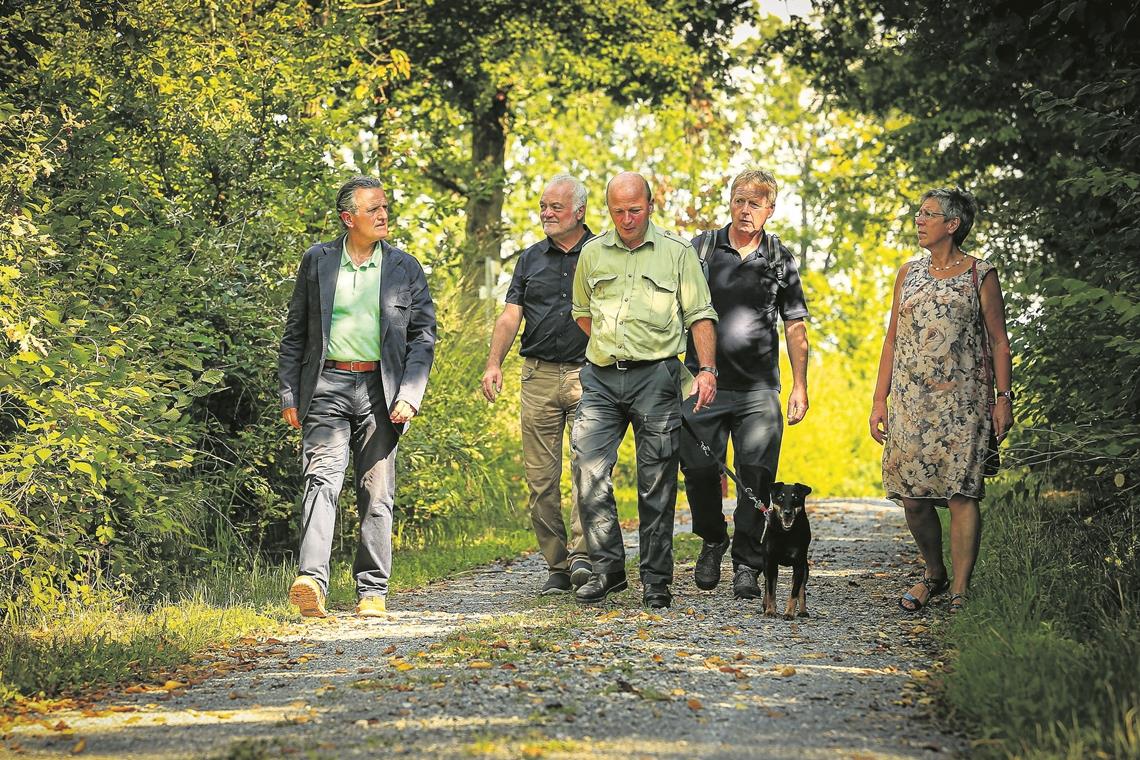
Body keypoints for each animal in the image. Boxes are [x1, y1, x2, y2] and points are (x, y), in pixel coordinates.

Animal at [761, 485, 816, 619]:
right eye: (780, 497)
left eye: (795, 497)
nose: (787, 512)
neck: (785, 533)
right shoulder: (771, 563)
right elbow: (771, 591)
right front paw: (770, 611)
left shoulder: (799, 565)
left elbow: (794, 592)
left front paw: (789, 613)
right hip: (766, 566)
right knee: (767, 584)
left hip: (805, 568)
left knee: (802, 589)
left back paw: (803, 611)